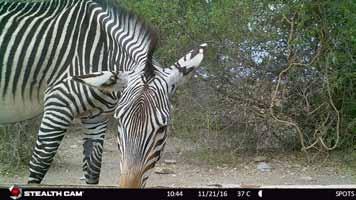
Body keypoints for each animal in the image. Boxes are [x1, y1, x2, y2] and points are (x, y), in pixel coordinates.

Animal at [0, 0, 206, 188]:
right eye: (120, 123)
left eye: (163, 128)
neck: (100, 52)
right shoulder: (57, 107)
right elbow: (39, 165)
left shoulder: (96, 118)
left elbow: (92, 171)